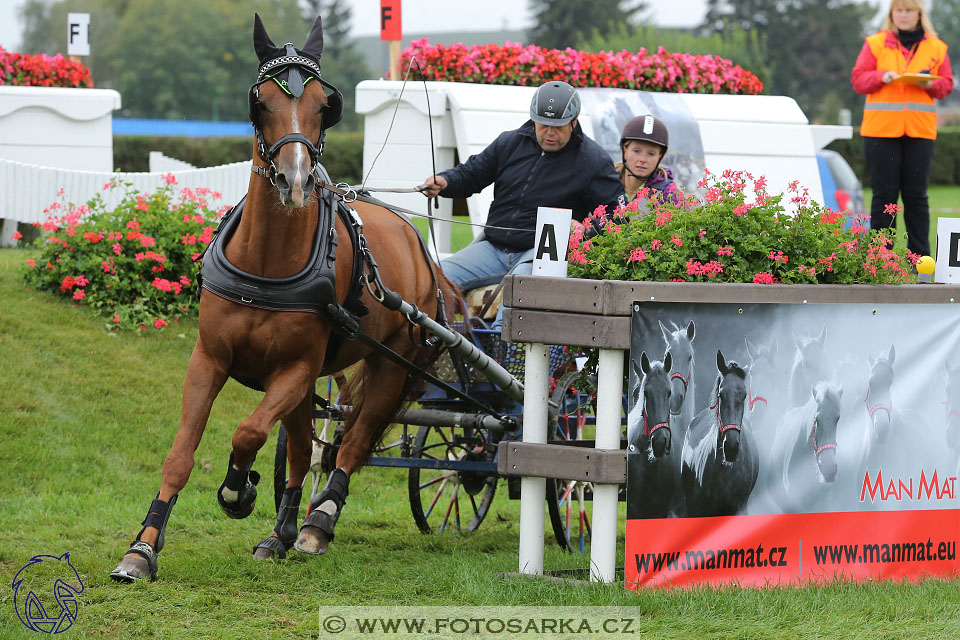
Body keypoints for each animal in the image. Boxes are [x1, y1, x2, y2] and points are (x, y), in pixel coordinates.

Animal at [112, 16, 458, 584]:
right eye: (262, 102)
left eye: (323, 104)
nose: (295, 181)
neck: (265, 266)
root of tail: (418, 245)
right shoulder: (208, 359)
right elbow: (182, 453)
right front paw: (143, 547)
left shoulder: (294, 368)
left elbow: (249, 432)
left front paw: (237, 491)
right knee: (301, 449)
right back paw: (282, 531)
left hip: (393, 363)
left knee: (353, 442)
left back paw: (317, 524)